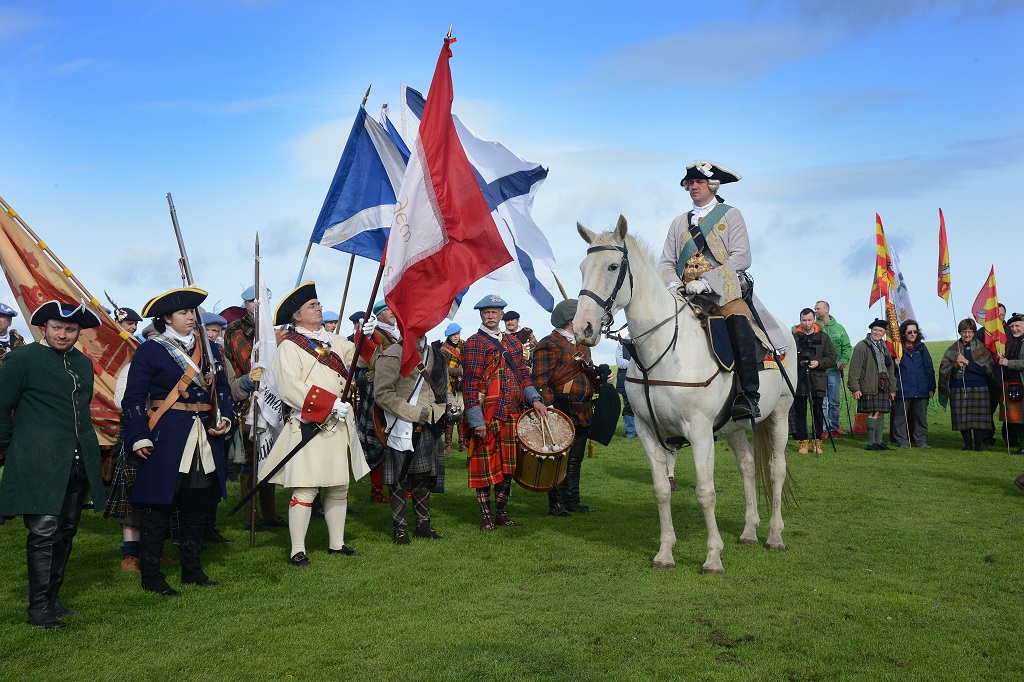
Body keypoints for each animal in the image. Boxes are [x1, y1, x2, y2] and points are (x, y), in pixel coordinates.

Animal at [573, 215, 794, 569]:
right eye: (582, 267)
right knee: (747, 465)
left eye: (612, 266)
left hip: (780, 414)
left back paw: (774, 536)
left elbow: (706, 492)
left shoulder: (701, 431)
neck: (662, 350)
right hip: (733, 425)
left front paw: (713, 558)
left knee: (776, 469)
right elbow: (661, 489)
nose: (584, 328)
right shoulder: (648, 430)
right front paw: (665, 553)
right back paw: (748, 531)